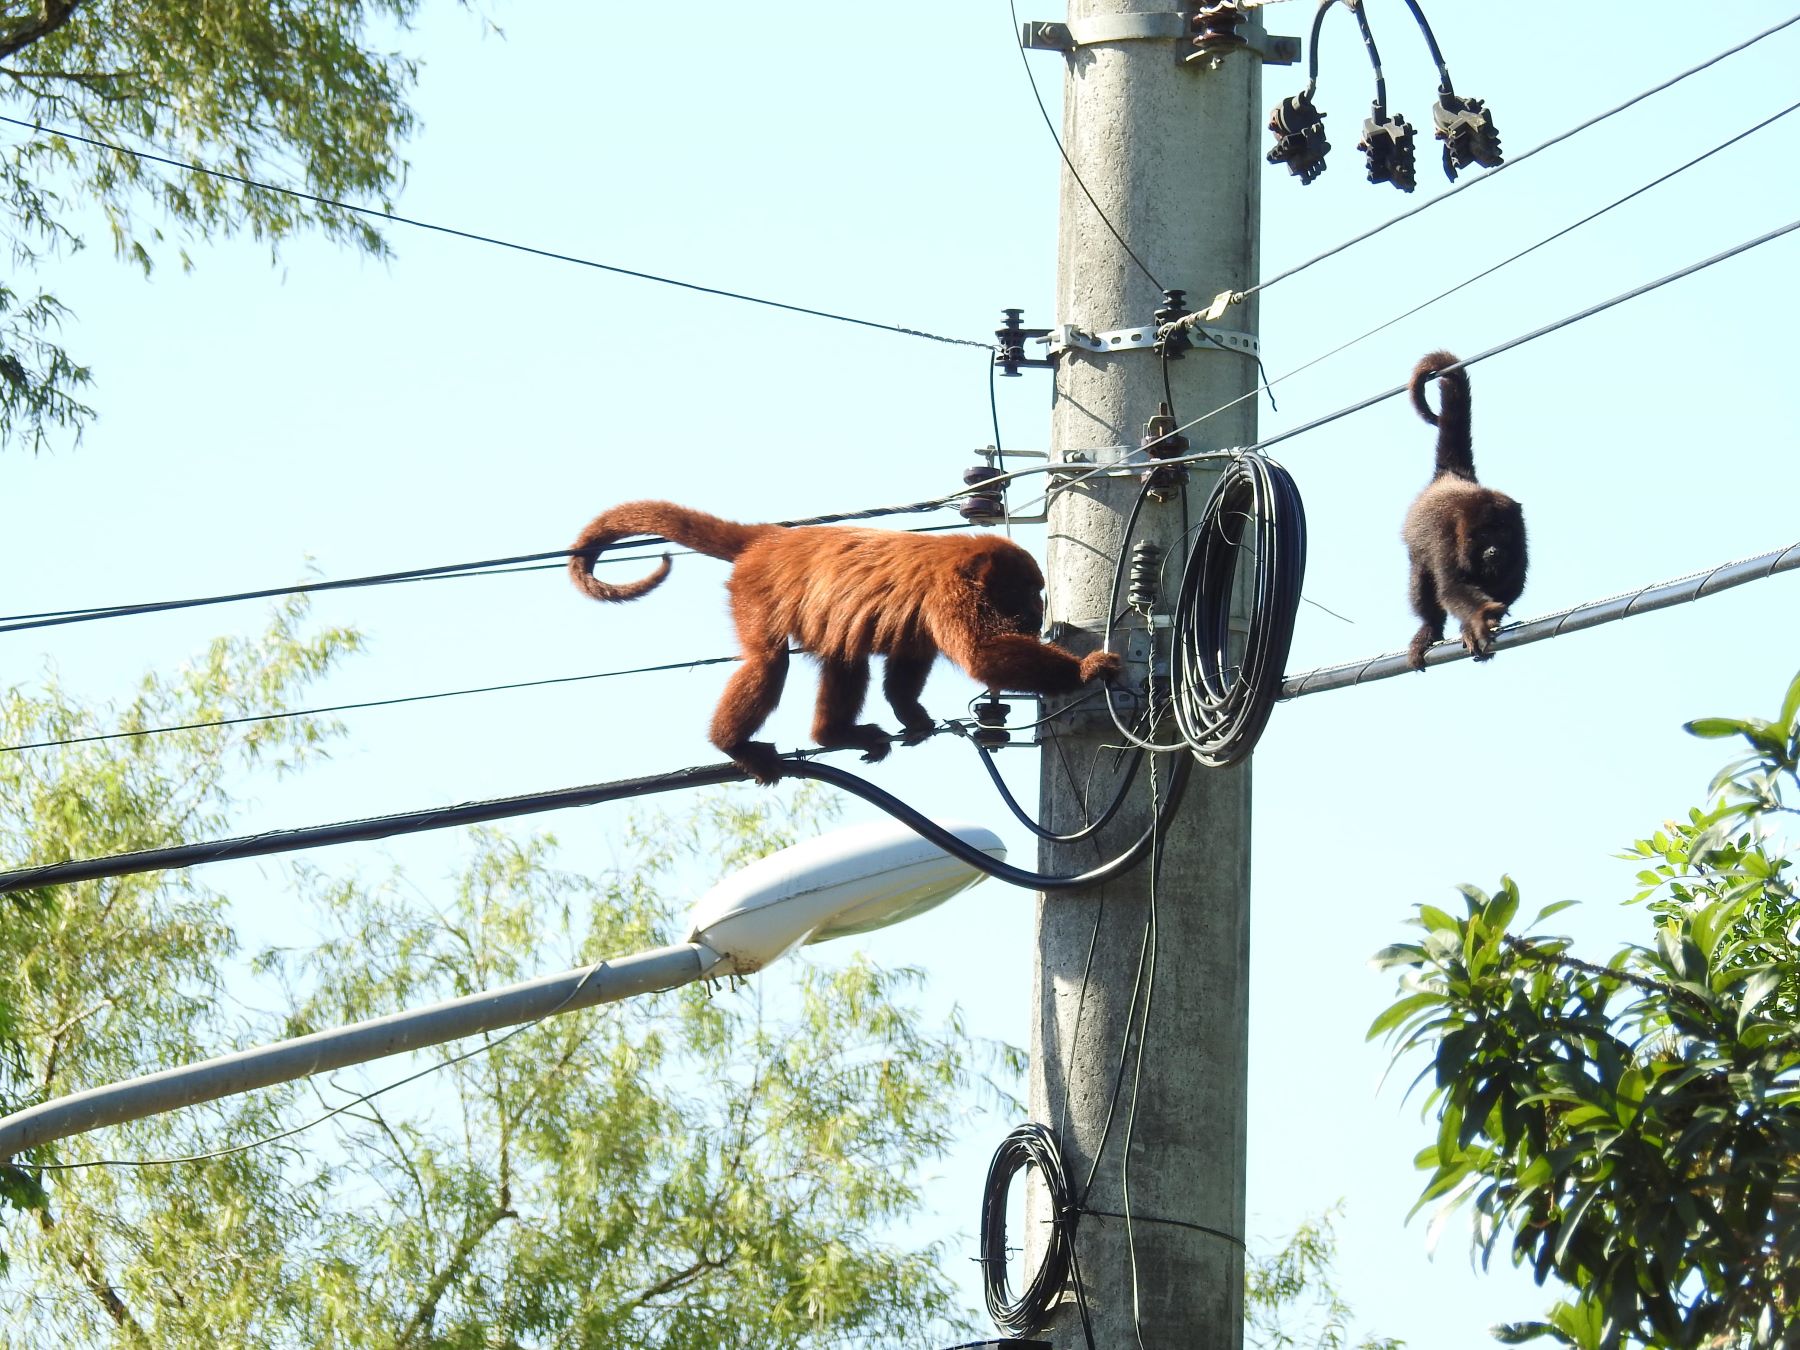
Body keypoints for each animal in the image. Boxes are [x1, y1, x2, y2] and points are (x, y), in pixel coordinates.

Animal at [568, 504, 1116, 781]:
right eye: (1025, 590)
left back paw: (833, 735)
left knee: (846, 654)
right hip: (756, 591)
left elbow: (907, 657)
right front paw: (1086, 670)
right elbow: (981, 656)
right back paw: (734, 744)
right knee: (768, 662)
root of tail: (771, 539)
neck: (965, 565)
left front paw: (911, 716)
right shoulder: (950, 593)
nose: (1037, 609)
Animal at [1396, 345, 1526, 669]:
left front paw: (1477, 624)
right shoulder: (1446, 538)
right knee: (1422, 584)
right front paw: (1479, 618)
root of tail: (1452, 476)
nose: (1493, 550)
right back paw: (1428, 629)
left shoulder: (1522, 536)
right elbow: (1452, 587)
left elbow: (1512, 583)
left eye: (1502, 532)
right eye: (1483, 535)